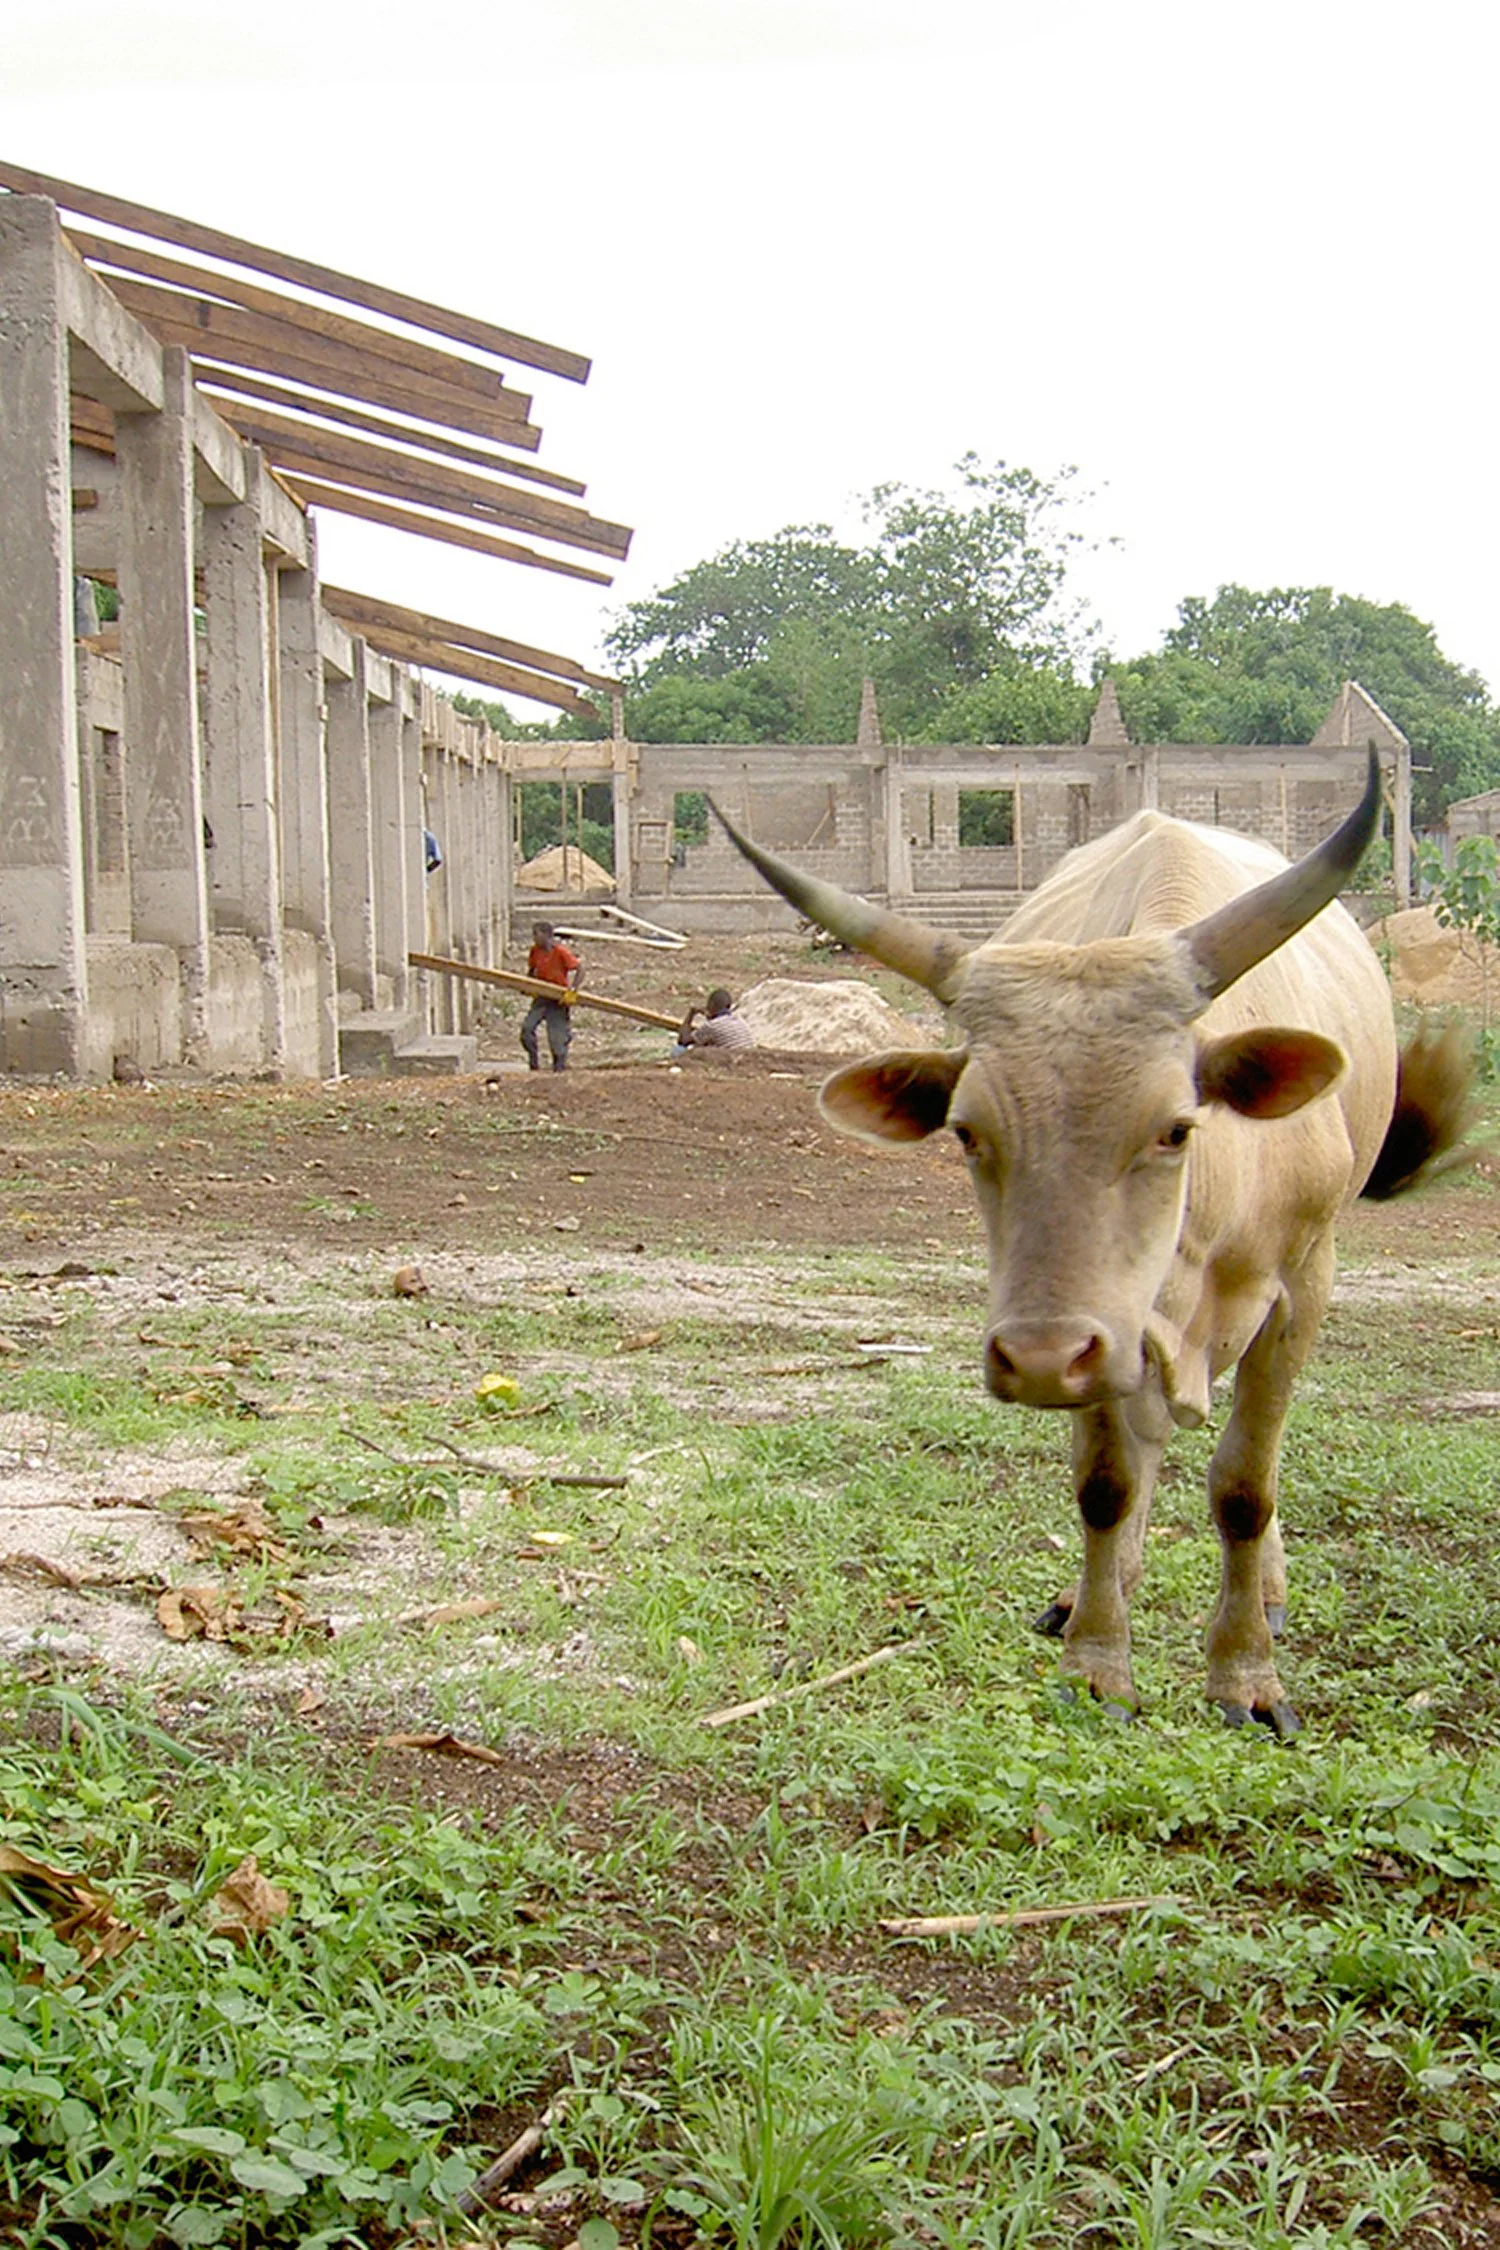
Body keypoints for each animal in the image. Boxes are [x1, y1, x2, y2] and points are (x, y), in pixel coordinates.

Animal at [710, 755, 1471, 1737]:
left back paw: (1264, 1592)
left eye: (1176, 1128)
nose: (1038, 1360)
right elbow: (1107, 1482)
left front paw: (1245, 1674)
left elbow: (1245, 1484)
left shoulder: (1299, 1287)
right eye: (967, 1133)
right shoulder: (1100, 1325)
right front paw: (1098, 1661)